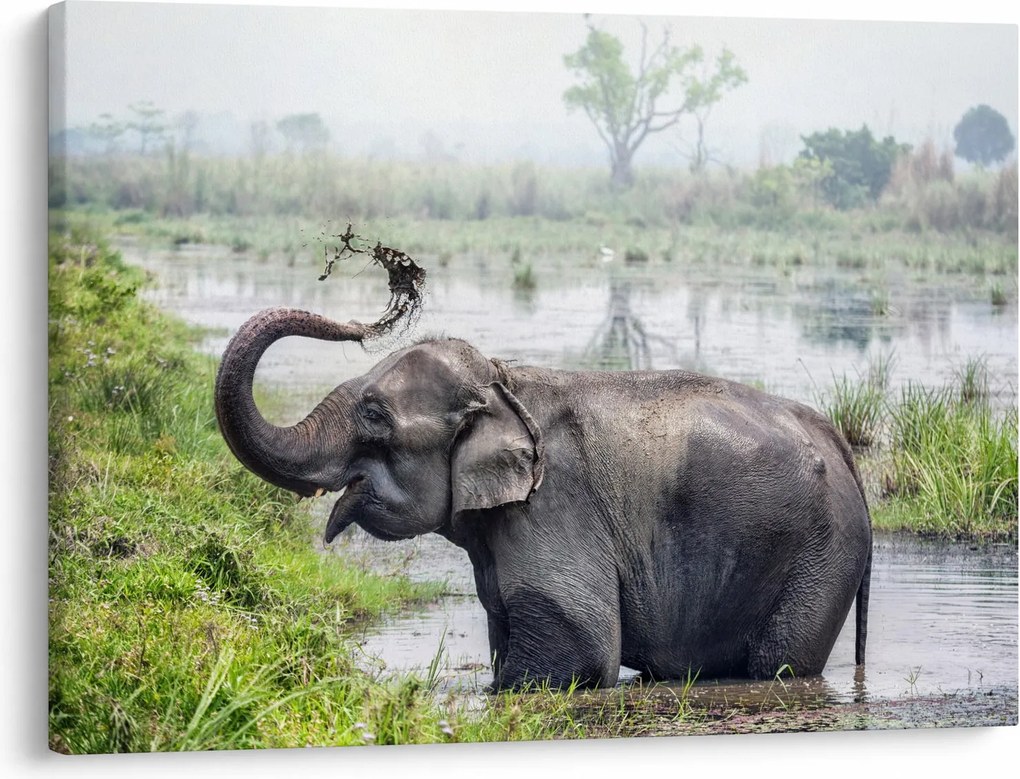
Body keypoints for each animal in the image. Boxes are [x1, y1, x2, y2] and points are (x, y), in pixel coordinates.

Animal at [215, 307, 872, 691]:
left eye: (375, 415)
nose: (360, 324)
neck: (504, 380)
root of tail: (840, 445)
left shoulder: (553, 507)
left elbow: (581, 646)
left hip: (821, 557)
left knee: (780, 665)